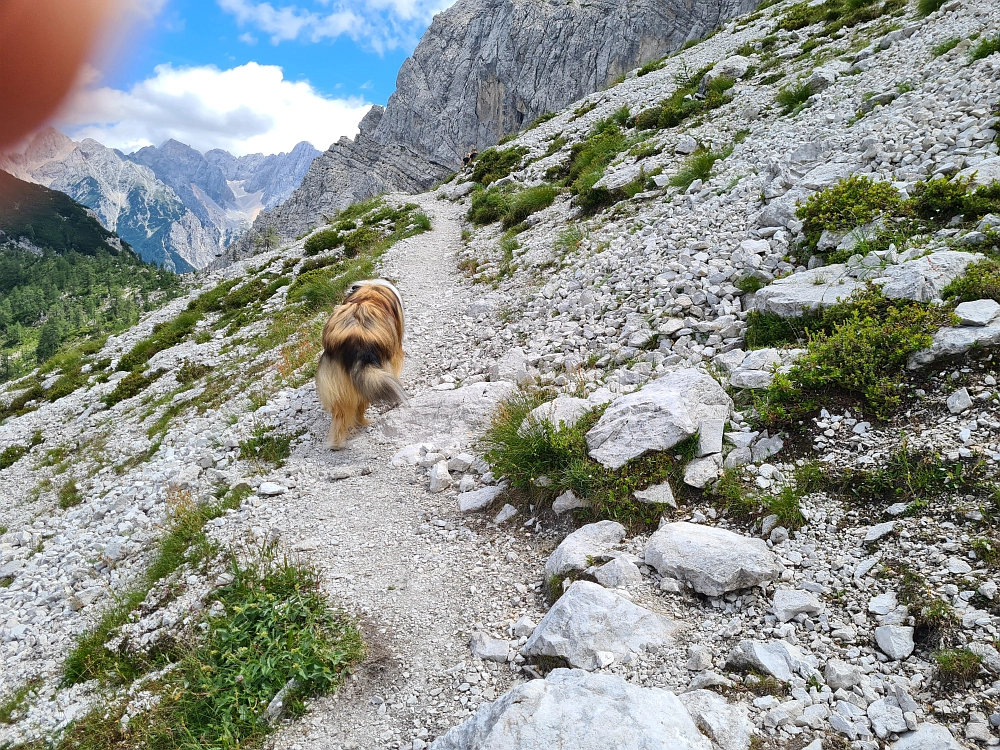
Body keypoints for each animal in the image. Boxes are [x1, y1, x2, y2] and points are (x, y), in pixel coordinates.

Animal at [314, 280, 404, 450]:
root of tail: (357, 339)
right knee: (360, 404)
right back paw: (364, 422)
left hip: (338, 380)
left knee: (341, 412)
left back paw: (337, 443)